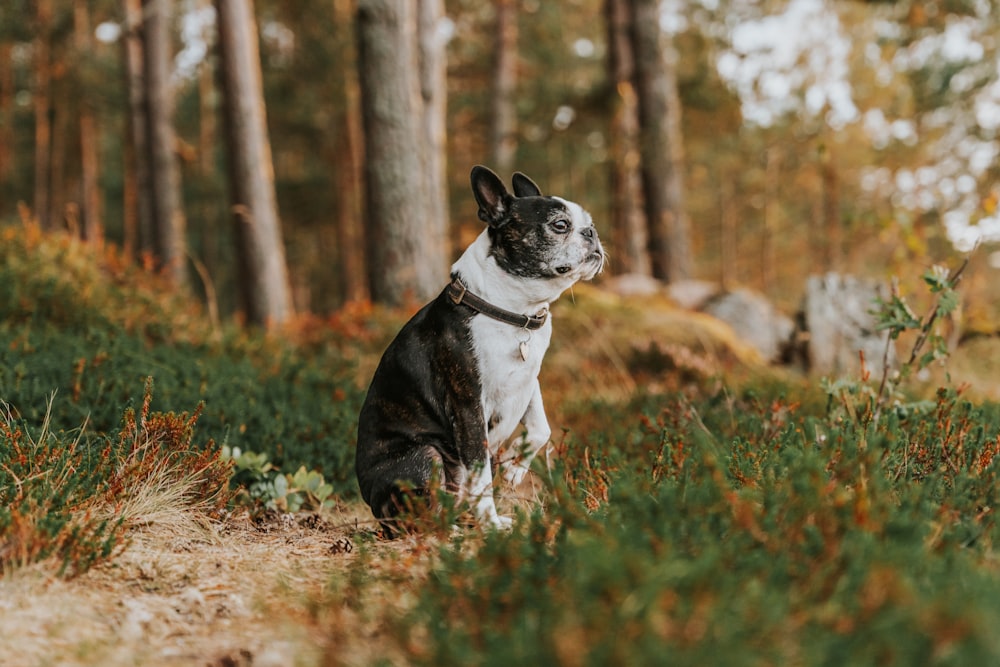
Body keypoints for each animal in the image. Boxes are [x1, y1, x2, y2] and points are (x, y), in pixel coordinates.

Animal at [356, 166, 604, 532]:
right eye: (560, 225)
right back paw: (453, 529)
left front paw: (515, 465)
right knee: (422, 515)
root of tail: (371, 505)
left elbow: (541, 428)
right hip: (425, 456)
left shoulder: (528, 381)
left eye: (589, 223)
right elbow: (481, 470)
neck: (513, 311)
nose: (592, 233)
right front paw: (493, 522)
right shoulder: (469, 404)